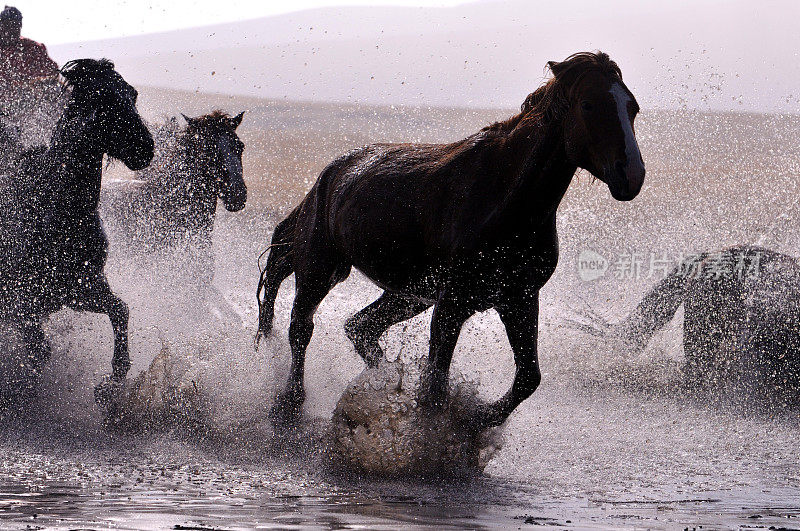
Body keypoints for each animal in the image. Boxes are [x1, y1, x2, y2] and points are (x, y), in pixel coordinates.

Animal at [0, 58, 154, 406]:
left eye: (132, 94)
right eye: (104, 100)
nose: (145, 148)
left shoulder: (80, 289)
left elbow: (120, 310)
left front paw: (111, 382)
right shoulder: (22, 304)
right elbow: (39, 351)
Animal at [260, 52, 648, 430]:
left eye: (632, 107)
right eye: (588, 104)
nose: (631, 175)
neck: (505, 200)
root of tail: (329, 174)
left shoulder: (519, 299)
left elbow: (527, 378)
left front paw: (476, 420)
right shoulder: (453, 302)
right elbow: (436, 384)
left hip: (409, 295)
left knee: (360, 327)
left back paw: (381, 383)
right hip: (321, 270)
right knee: (300, 326)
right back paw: (289, 402)